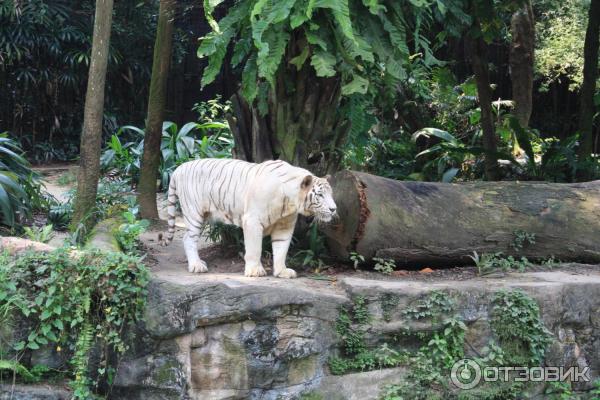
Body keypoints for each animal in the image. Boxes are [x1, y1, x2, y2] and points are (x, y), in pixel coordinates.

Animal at [159, 159, 338, 278]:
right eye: (320, 195)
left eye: (331, 194)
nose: (334, 209)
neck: (290, 202)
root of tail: (179, 168)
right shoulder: (252, 221)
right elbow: (254, 248)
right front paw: (254, 271)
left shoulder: (284, 226)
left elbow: (281, 249)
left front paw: (282, 271)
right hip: (194, 213)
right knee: (188, 239)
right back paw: (197, 266)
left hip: (203, 216)